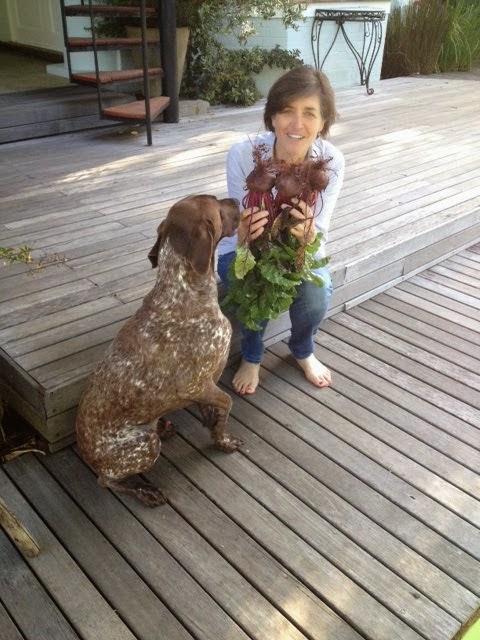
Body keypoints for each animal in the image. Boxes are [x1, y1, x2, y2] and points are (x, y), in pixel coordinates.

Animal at [76, 192, 242, 508]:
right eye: (217, 204)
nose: (238, 201)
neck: (181, 292)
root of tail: (84, 453)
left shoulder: (206, 387)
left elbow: (212, 412)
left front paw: (212, 426)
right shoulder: (199, 385)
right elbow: (226, 406)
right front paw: (223, 440)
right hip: (145, 446)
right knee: (106, 481)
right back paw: (145, 491)